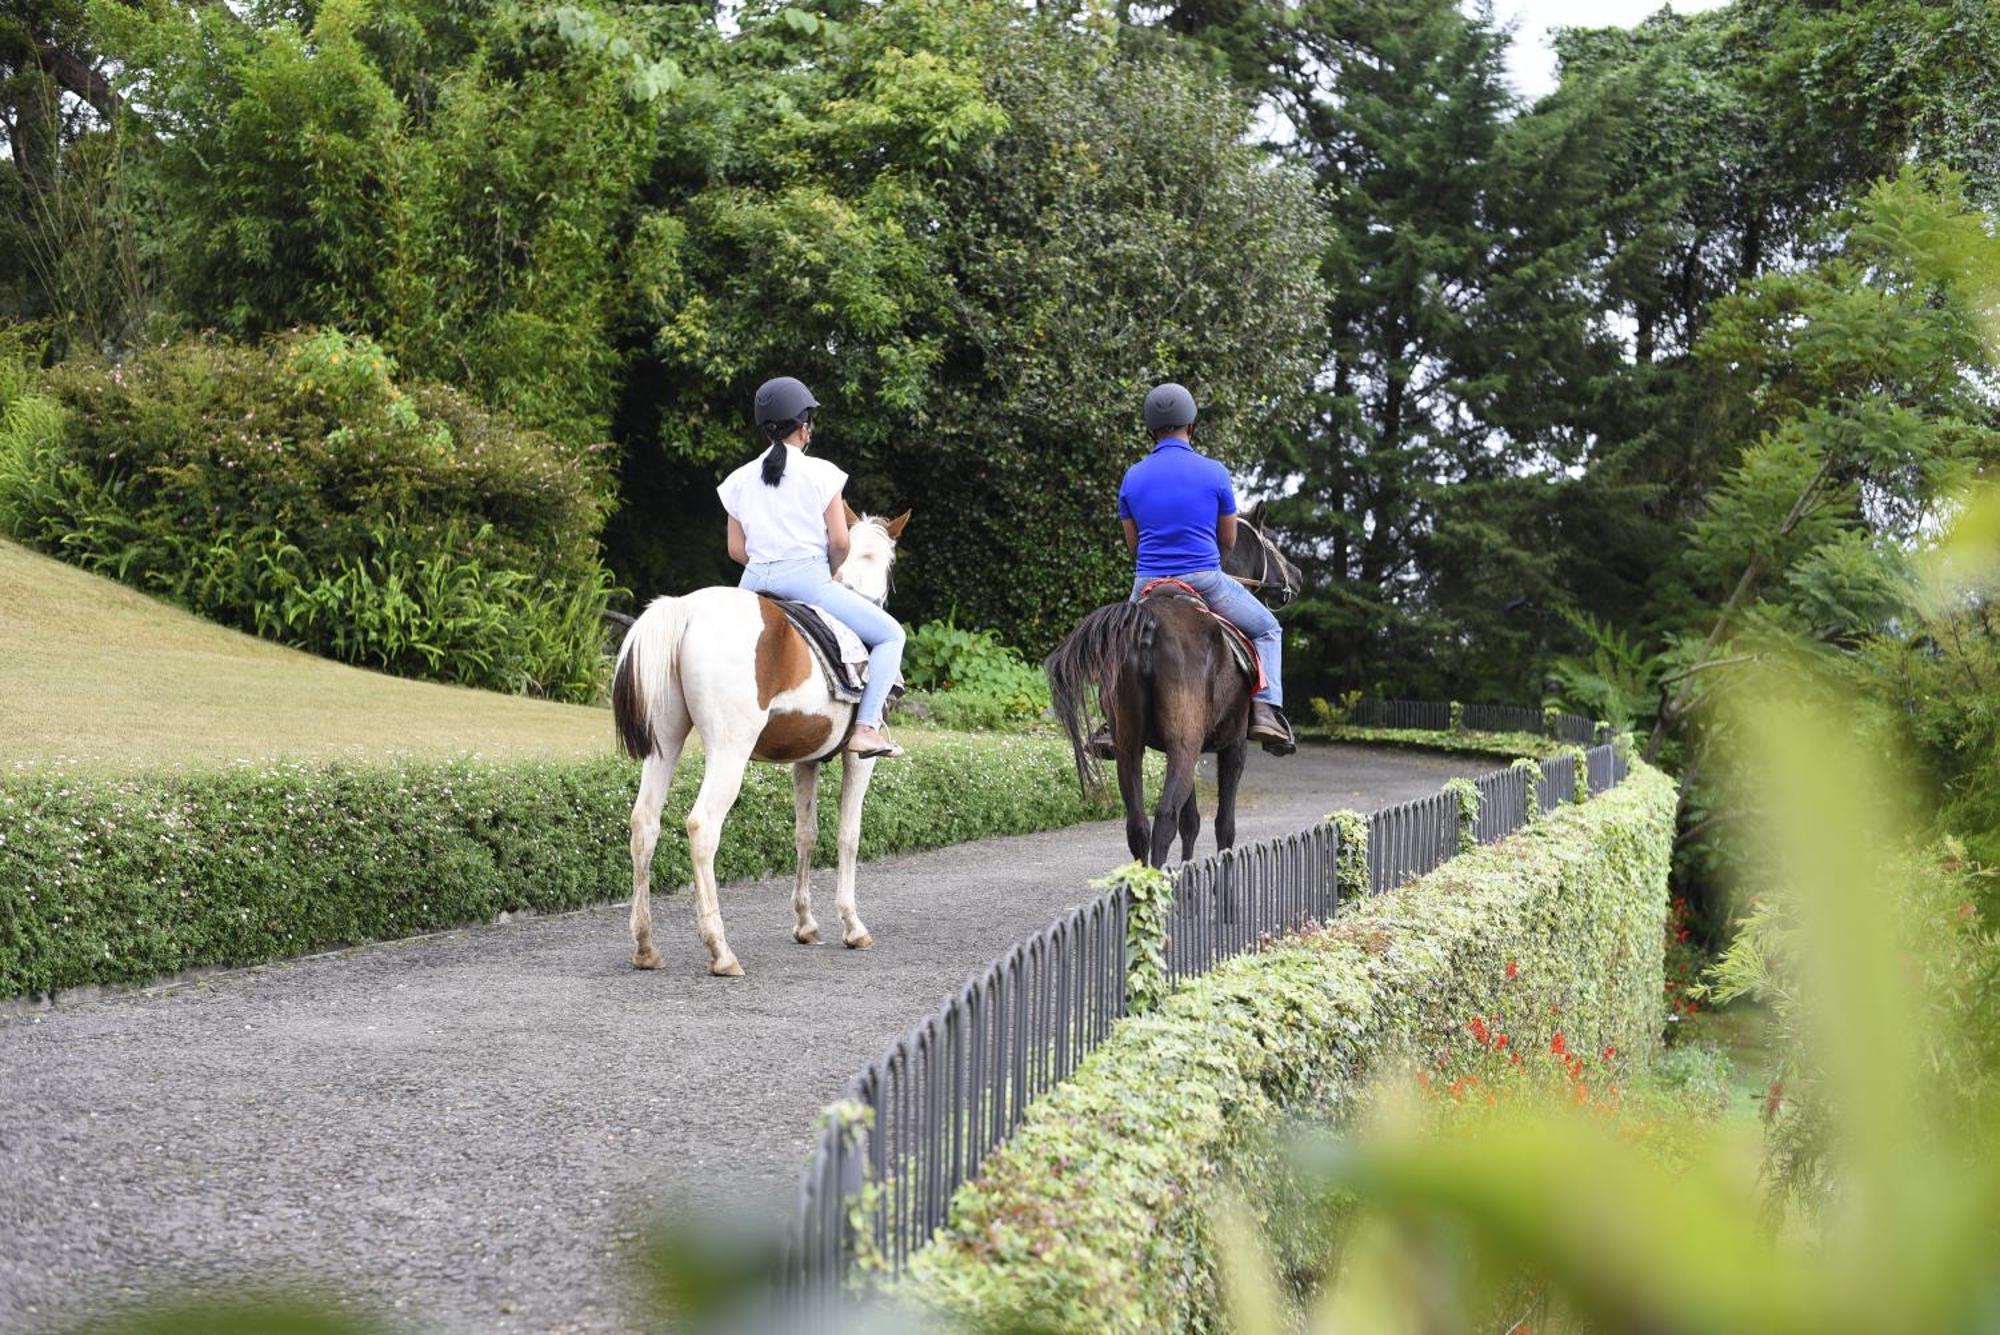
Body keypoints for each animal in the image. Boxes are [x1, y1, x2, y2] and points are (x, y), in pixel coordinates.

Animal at [612, 511, 912, 979]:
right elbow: (849, 835)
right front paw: (852, 925)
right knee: (702, 827)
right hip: (729, 751)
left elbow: (806, 834)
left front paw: (806, 924)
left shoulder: (805, 761)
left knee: (645, 822)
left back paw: (645, 946)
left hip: (664, 741)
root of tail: (686, 608)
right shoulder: (859, 760)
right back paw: (720, 950)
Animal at [1040, 511, 1304, 867]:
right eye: (1272, 541)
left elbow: (1190, 821)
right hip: (1184, 744)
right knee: (1164, 817)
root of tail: (1148, 623)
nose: (1297, 575)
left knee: (1138, 825)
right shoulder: (1234, 747)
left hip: (1131, 746)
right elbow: (1224, 825)